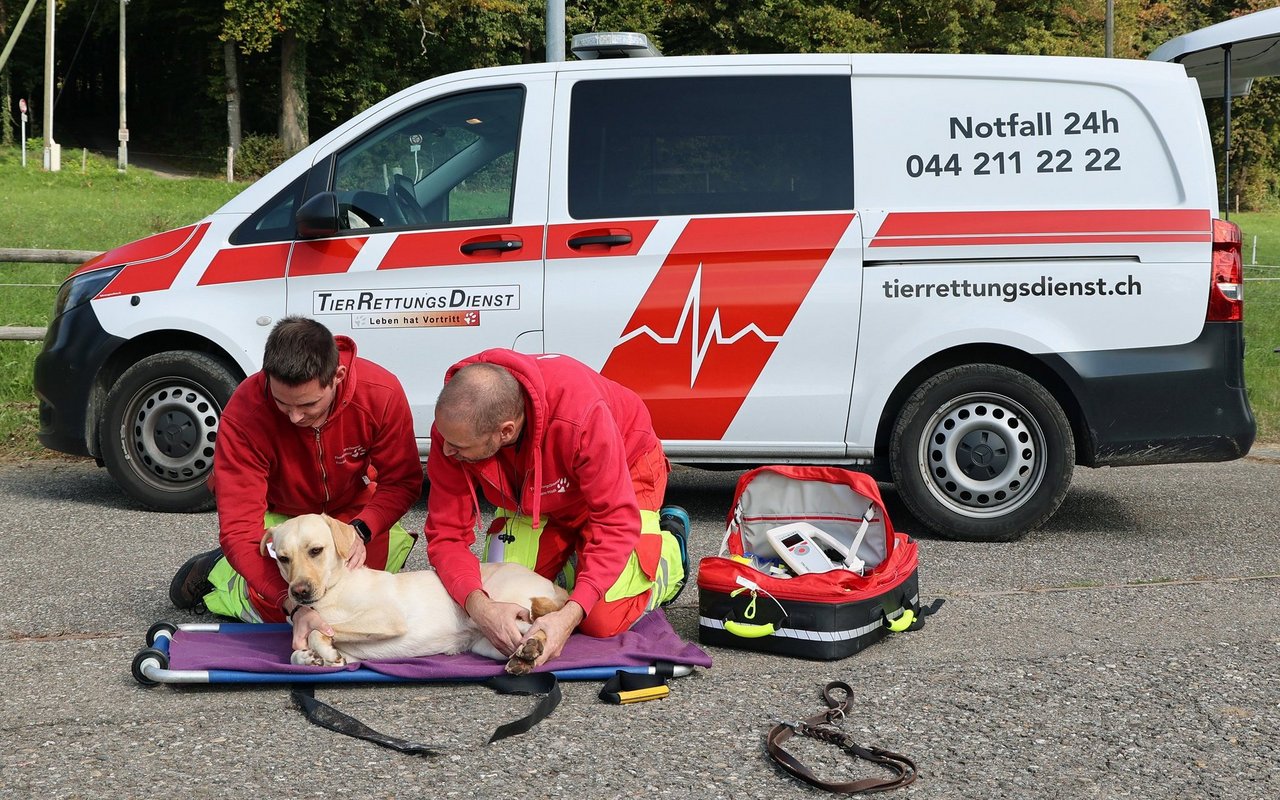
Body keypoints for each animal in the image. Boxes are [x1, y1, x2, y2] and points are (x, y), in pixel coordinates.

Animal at [262, 512, 568, 675]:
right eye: (283, 558)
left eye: (316, 550)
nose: (299, 592)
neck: (333, 589)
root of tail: (553, 585)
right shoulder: (351, 656)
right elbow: (296, 652)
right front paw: (311, 657)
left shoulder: (386, 618)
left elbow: (320, 630)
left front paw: (321, 647)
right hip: (490, 643)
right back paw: (524, 657)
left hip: (501, 611)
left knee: (544, 627)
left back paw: (531, 648)